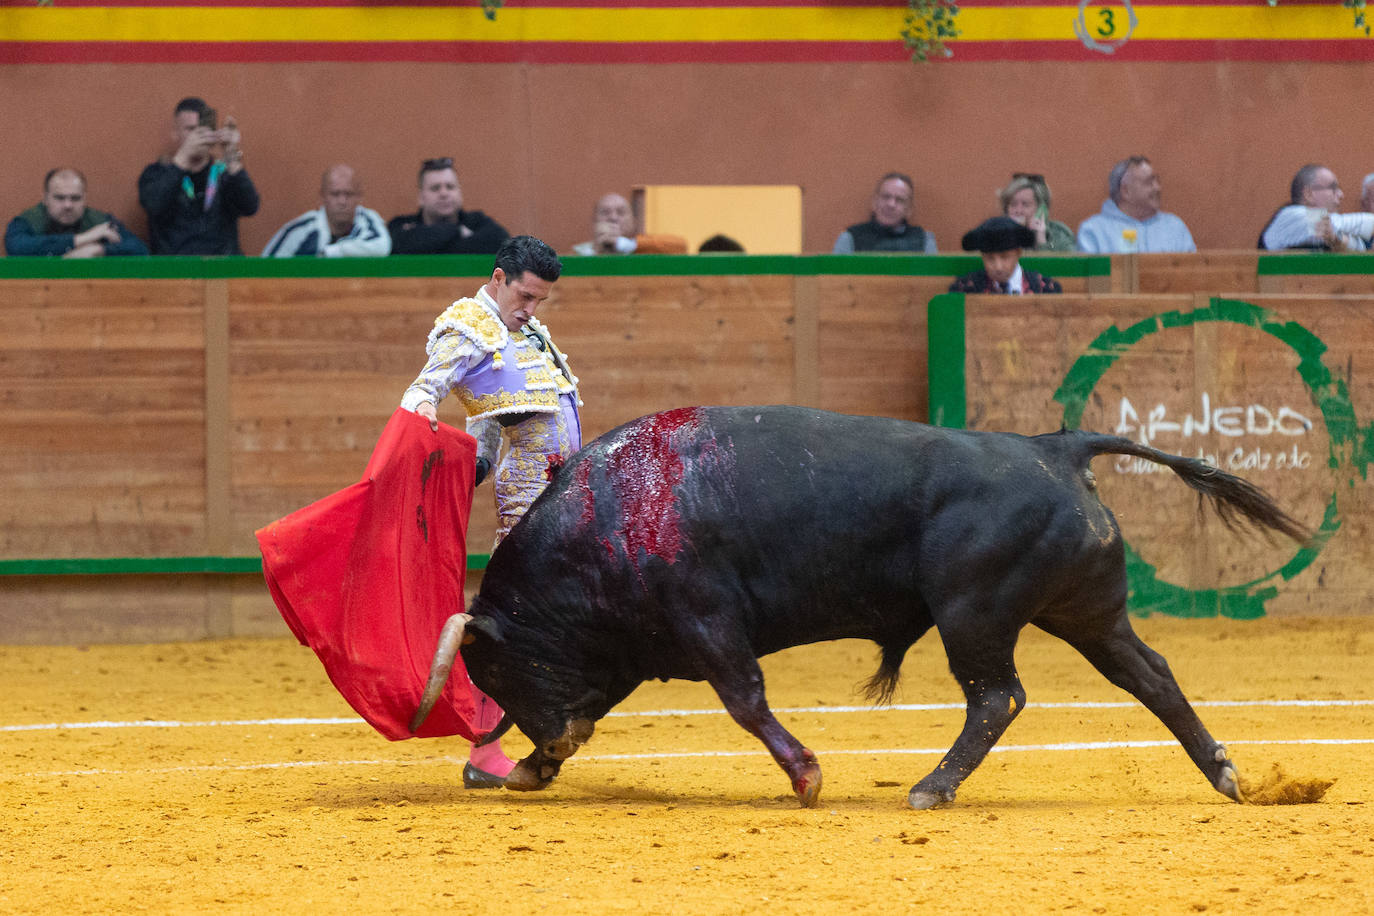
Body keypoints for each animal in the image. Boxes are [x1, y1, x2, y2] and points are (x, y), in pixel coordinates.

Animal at [406, 403, 1308, 807]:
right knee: (1151, 675)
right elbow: (605, 701)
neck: (610, 513)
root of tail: (1055, 449)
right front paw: (533, 766)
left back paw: (931, 789)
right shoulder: (638, 646)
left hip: (974, 614)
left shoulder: (706, 621)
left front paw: (806, 776)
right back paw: (1226, 773)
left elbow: (745, 700)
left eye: (495, 667)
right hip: (1089, 614)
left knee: (998, 697)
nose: (546, 737)